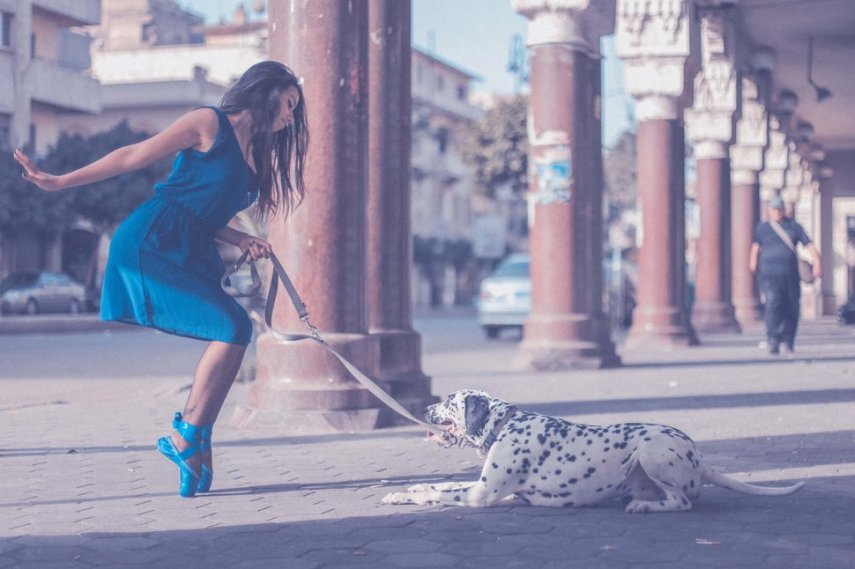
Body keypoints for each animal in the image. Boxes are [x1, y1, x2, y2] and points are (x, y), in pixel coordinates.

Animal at [384, 388, 804, 512]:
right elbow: (434, 486)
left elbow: (437, 493)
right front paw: (401, 491)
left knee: (682, 503)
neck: (507, 425)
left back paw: (645, 507)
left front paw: (404, 496)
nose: (425, 410)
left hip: (650, 449)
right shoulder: (475, 485)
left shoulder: (479, 494)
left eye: (448, 400)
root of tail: (701, 461)